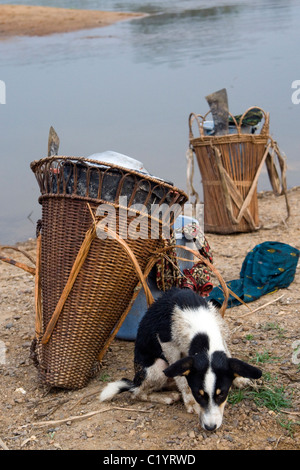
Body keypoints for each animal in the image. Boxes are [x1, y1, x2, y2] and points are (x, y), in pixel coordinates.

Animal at [99, 286, 262, 430]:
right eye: (198, 395)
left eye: (222, 394)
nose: (210, 427)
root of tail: (135, 381)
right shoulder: (167, 344)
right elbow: (183, 381)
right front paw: (191, 403)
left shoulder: (221, 333)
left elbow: (228, 354)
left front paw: (240, 379)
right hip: (158, 366)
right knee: (137, 393)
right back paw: (166, 397)